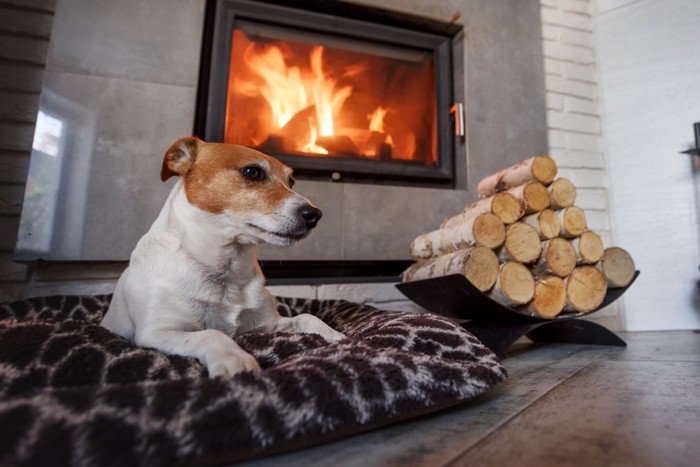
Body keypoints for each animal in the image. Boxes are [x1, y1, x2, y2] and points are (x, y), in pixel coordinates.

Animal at [101, 137, 344, 378]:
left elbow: (307, 317)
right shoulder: (158, 331)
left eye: (291, 182)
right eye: (252, 172)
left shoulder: (268, 325)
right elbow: (211, 334)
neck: (225, 268)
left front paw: (337, 337)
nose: (315, 215)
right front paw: (237, 359)